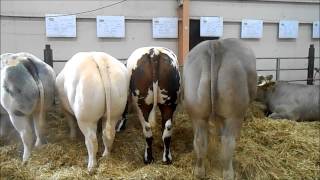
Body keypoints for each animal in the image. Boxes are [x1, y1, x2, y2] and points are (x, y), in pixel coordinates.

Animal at [184, 38, 256, 179]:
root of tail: (215, 44)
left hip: (196, 112)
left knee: (200, 141)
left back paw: (199, 171)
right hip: (234, 114)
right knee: (228, 143)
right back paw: (229, 173)